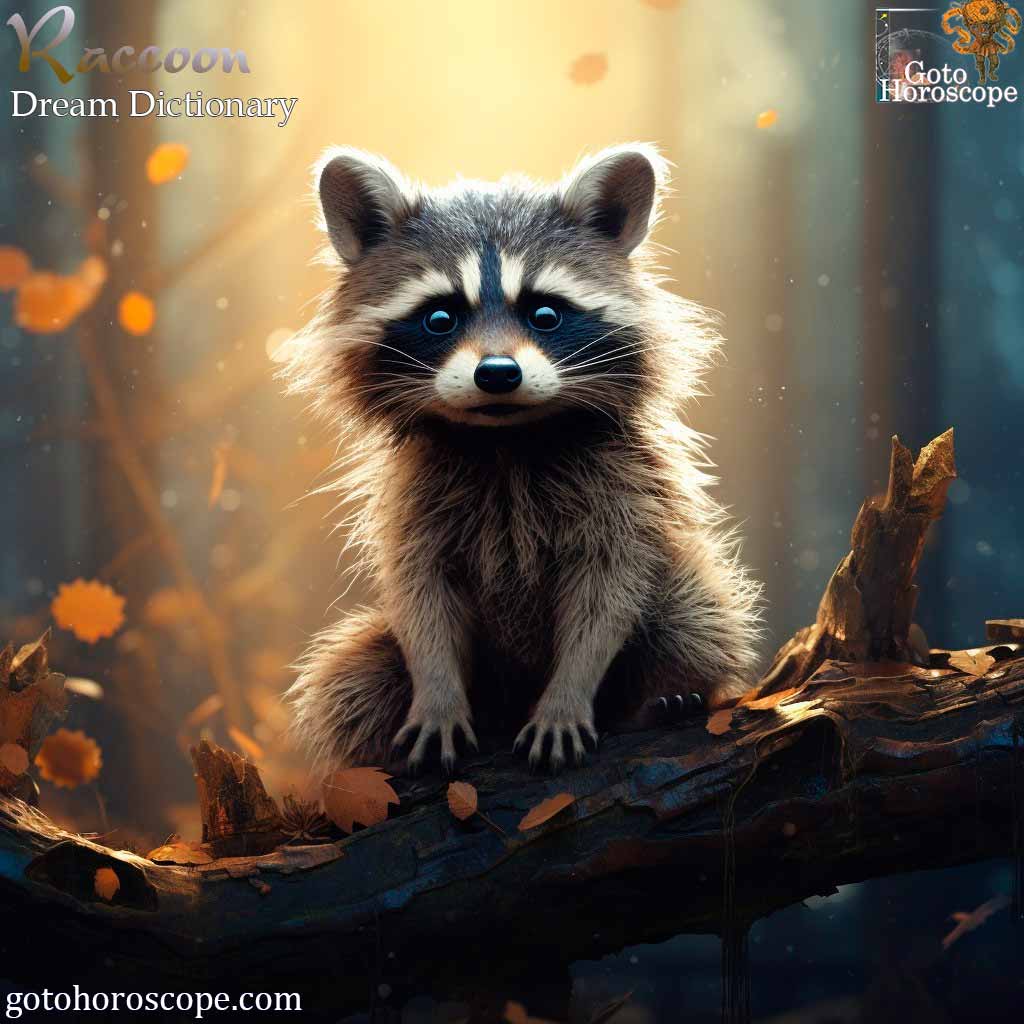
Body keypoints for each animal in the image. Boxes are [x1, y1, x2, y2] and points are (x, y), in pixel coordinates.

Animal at [283, 144, 763, 775]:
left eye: (545, 314)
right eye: (440, 317)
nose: (497, 373)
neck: (505, 440)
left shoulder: (625, 489)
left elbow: (609, 594)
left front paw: (568, 696)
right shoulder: (415, 500)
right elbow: (419, 595)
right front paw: (436, 695)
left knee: (698, 613)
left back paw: (661, 699)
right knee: (347, 678)